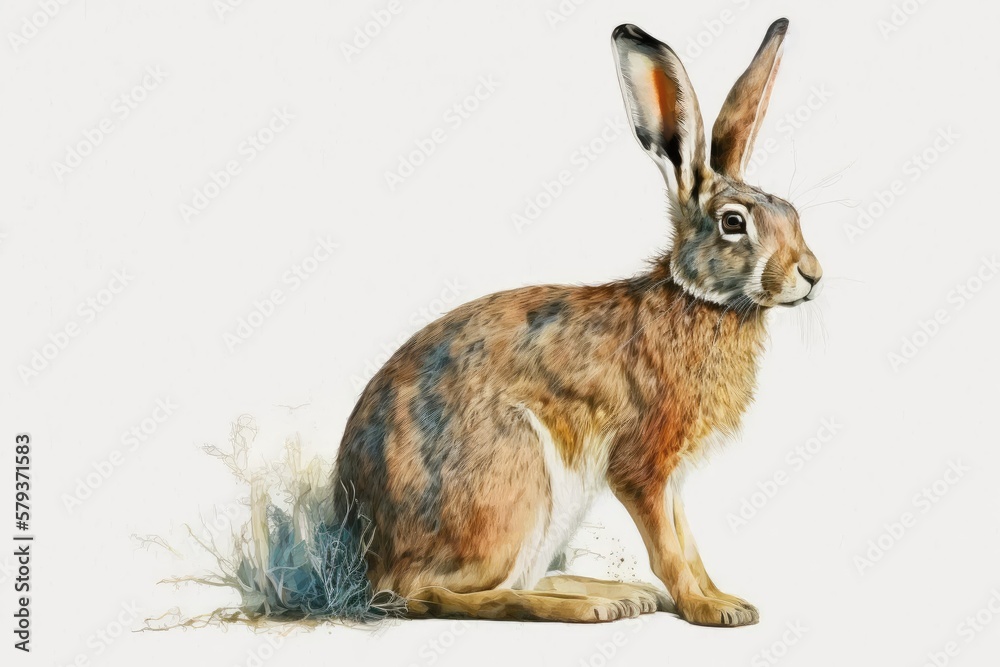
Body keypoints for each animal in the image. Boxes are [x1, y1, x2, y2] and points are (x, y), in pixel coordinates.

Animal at [332, 17, 822, 627]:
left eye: (792, 215)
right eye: (734, 223)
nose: (813, 275)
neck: (700, 301)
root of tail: (367, 562)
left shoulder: (673, 479)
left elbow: (687, 542)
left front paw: (725, 600)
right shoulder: (642, 466)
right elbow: (668, 549)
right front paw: (707, 611)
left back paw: (621, 594)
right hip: (514, 483)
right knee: (442, 594)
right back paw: (593, 606)